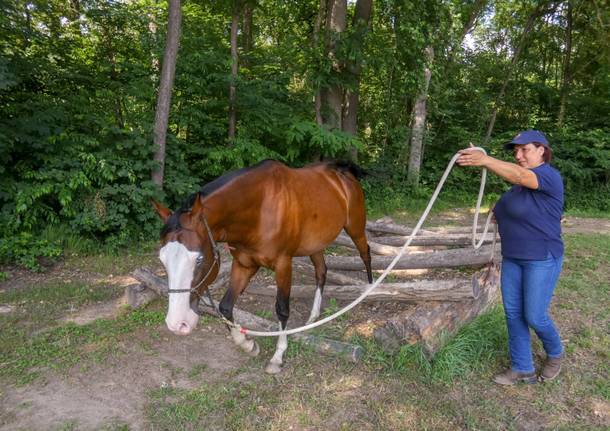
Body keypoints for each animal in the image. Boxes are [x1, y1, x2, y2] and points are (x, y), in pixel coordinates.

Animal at [151, 159, 370, 374]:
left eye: (198, 259)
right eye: (162, 259)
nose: (177, 323)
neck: (259, 210)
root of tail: (342, 173)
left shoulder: (283, 264)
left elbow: (282, 309)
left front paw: (278, 356)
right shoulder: (244, 264)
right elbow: (225, 307)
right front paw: (248, 344)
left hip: (356, 228)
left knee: (365, 254)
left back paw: (369, 289)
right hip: (315, 244)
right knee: (321, 272)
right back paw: (314, 316)